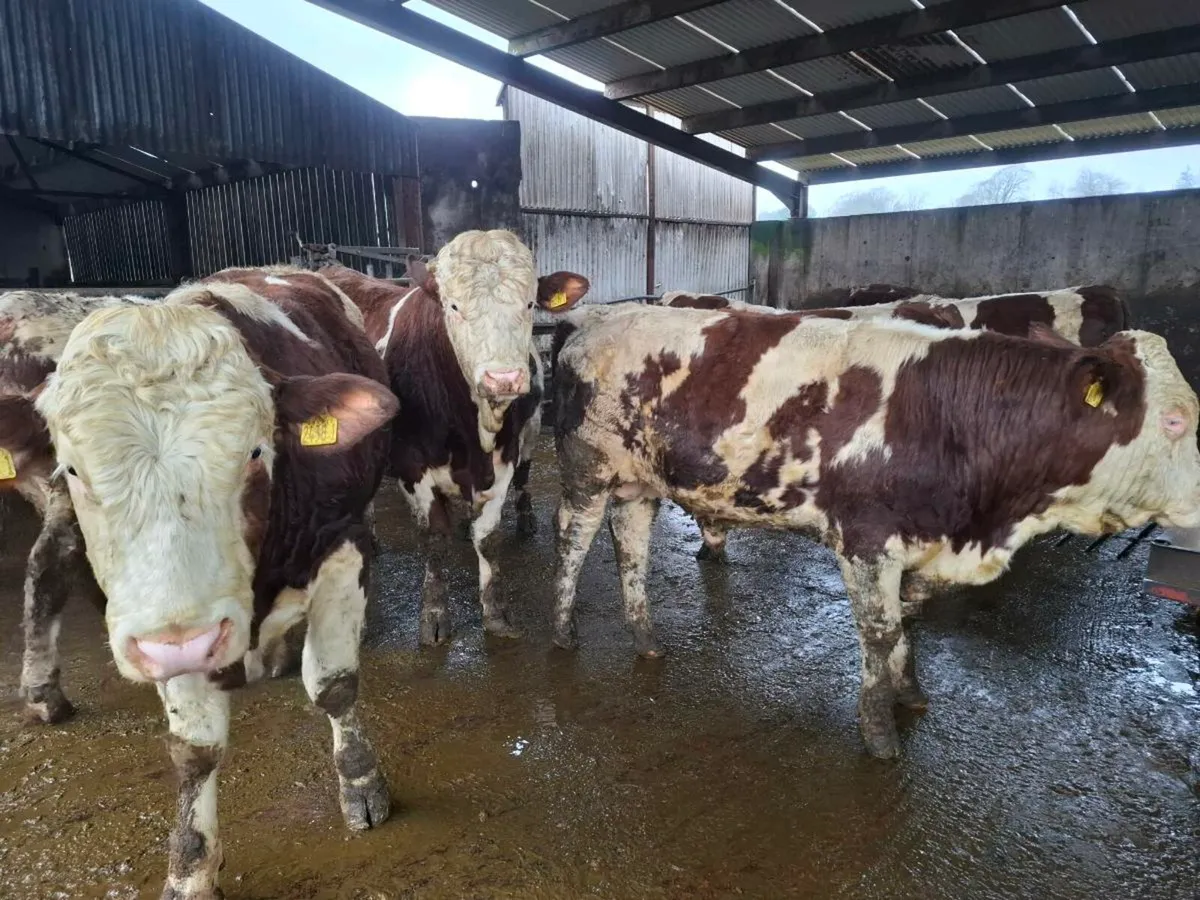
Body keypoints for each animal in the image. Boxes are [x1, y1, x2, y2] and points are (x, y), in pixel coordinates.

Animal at [2, 269, 399, 898]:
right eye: (73, 467)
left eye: (256, 452)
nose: (180, 644)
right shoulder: (169, 622)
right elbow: (196, 749)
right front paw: (190, 867)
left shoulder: (342, 547)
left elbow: (335, 686)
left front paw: (360, 784)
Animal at [317, 231, 590, 646]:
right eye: (454, 305)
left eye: (529, 303)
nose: (503, 379)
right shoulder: (413, 465)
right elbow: (433, 538)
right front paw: (433, 613)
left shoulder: (503, 460)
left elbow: (488, 537)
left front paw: (495, 611)